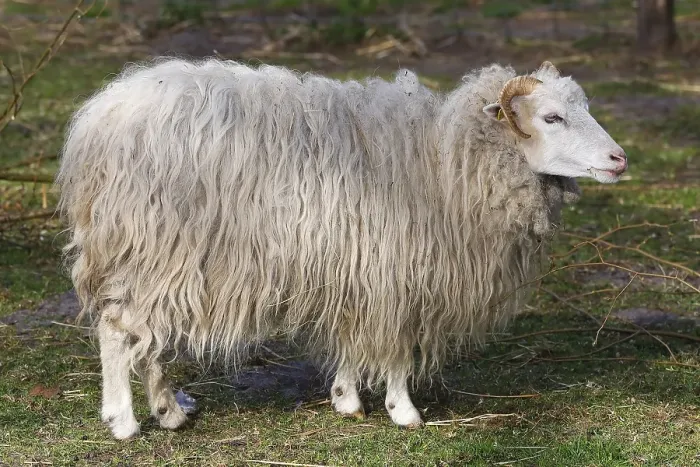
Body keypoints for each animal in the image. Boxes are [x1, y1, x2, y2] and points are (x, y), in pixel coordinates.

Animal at [56, 58, 627, 439]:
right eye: (552, 118)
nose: (620, 159)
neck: (444, 159)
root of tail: (97, 122)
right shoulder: (395, 270)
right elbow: (396, 345)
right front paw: (403, 410)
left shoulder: (358, 268)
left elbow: (353, 338)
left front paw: (346, 398)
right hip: (157, 249)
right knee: (118, 331)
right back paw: (124, 422)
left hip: (154, 260)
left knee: (145, 341)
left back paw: (170, 411)